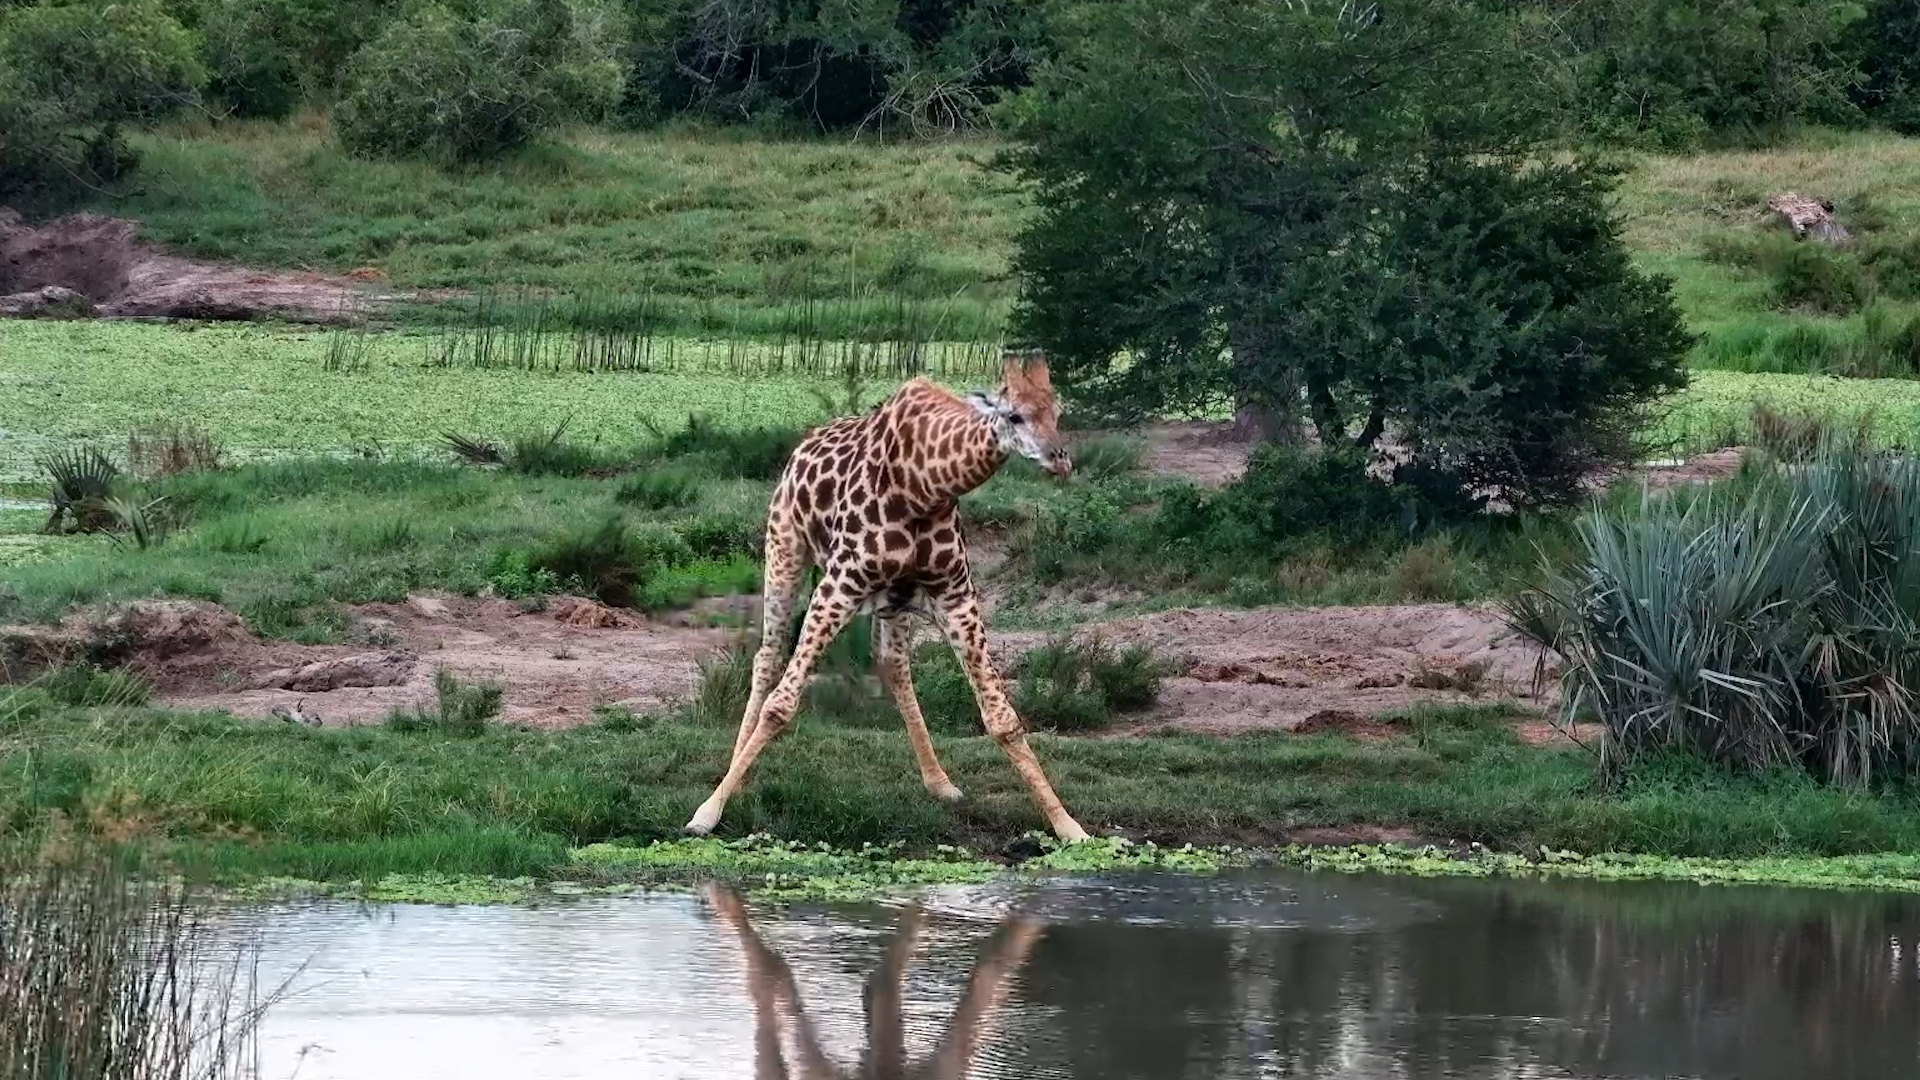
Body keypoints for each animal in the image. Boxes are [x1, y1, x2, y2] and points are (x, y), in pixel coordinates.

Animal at [683, 350, 1092, 842]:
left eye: (1058, 413)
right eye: (1014, 415)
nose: (1059, 459)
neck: (927, 487)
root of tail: (802, 446)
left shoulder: (955, 594)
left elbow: (1003, 719)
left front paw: (1068, 827)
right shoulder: (838, 584)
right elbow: (780, 706)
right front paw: (707, 812)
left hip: (894, 600)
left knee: (893, 664)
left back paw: (939, 782)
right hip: (785, 550)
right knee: (768, 655)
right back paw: (731, 776)